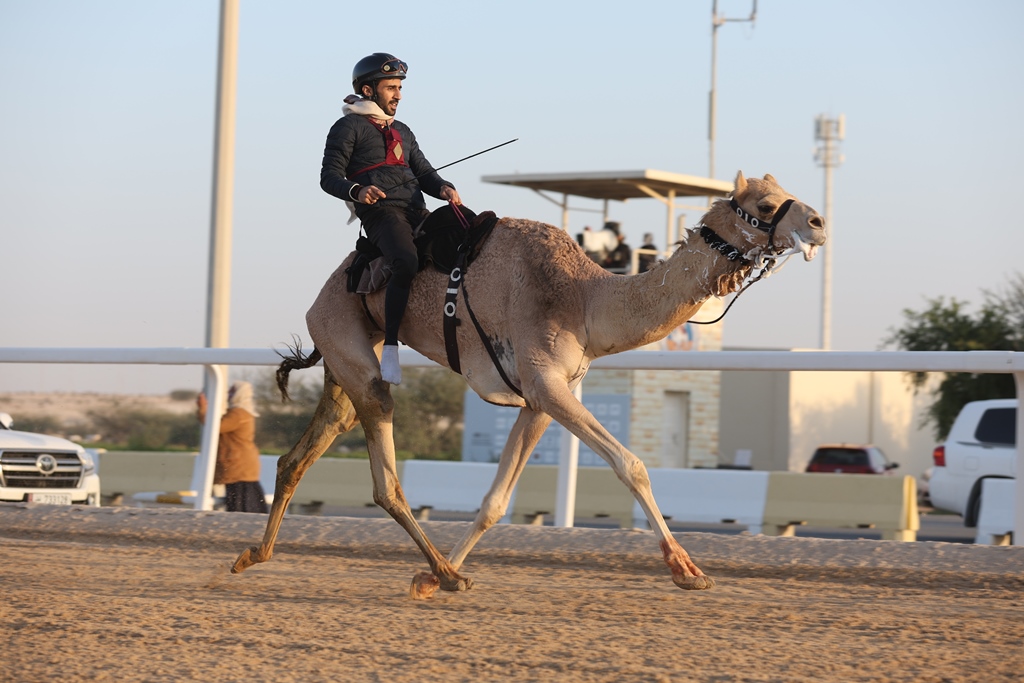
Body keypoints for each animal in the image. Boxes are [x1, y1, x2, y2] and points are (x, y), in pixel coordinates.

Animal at [230, 172, 823, 598]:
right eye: (765, 205)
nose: (818, 221)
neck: (585, 298)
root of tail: (324, 293)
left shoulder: (539, 399)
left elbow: (496, 500)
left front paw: (427, 582)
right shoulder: (546, 384)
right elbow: (630, 463)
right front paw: (686, 569)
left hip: (346, 360)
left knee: (302, 454)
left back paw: (256, 556)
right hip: (353, 349)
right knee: (384, 477)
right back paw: (446, 573)